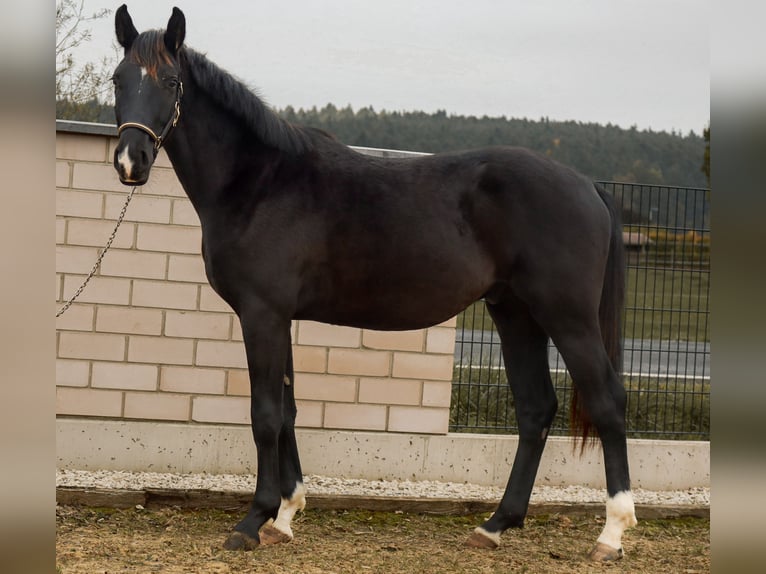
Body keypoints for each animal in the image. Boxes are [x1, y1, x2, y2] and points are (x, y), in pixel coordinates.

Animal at [111, 4, 640, 564]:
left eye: (170, 82)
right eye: (118, 79)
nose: (130, 161)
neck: (259, 181)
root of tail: (586, 185)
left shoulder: (261, 315)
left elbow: (266, 415)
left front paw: (253, 521)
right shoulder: (280, 318)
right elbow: (289, 411)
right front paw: (286, 515)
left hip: (568, 318)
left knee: (607, 401)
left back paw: (611, 533)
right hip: (515, 314)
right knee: (536, 408)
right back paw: (495, 525)